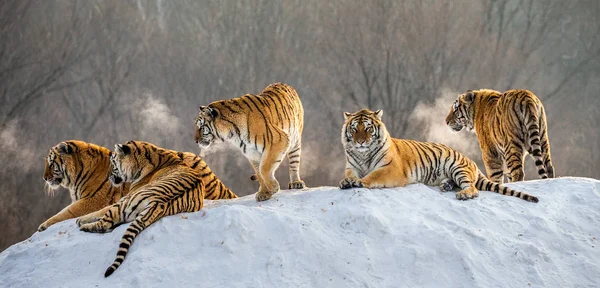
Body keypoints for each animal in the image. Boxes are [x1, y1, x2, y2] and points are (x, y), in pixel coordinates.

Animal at [75, 141, 206, 278]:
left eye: (112, 163)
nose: (109, 176)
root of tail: (158, 203)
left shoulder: (125, 197)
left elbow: (101, 210)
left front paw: (81, 219)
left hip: (123, 203)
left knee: (104, 224)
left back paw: (84, 226)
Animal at [340, 108, 540, 202]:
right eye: (354, 129)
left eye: (368, 128)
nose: (360, 142)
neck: (363, 155)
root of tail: (471, 161)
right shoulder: (352, 167)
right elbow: (350, 175)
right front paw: (346, 182)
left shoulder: (390, 169)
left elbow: (372, 176)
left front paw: (360, 182)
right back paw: (446, 185)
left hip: (457, 167)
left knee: (473, 188)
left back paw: (463, 194)